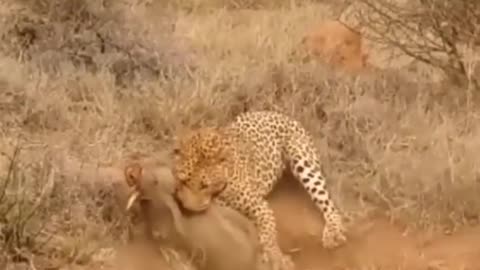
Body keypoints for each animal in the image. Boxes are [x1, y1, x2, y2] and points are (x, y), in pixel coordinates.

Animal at [171, 110, 346, 270]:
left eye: (204, 185)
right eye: (184, 181)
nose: (188, 208)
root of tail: (279, 114)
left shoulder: (260, 207)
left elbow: (269, 236)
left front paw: (277, 258)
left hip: (303, 161)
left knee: (329, 203)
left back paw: (332, 233)